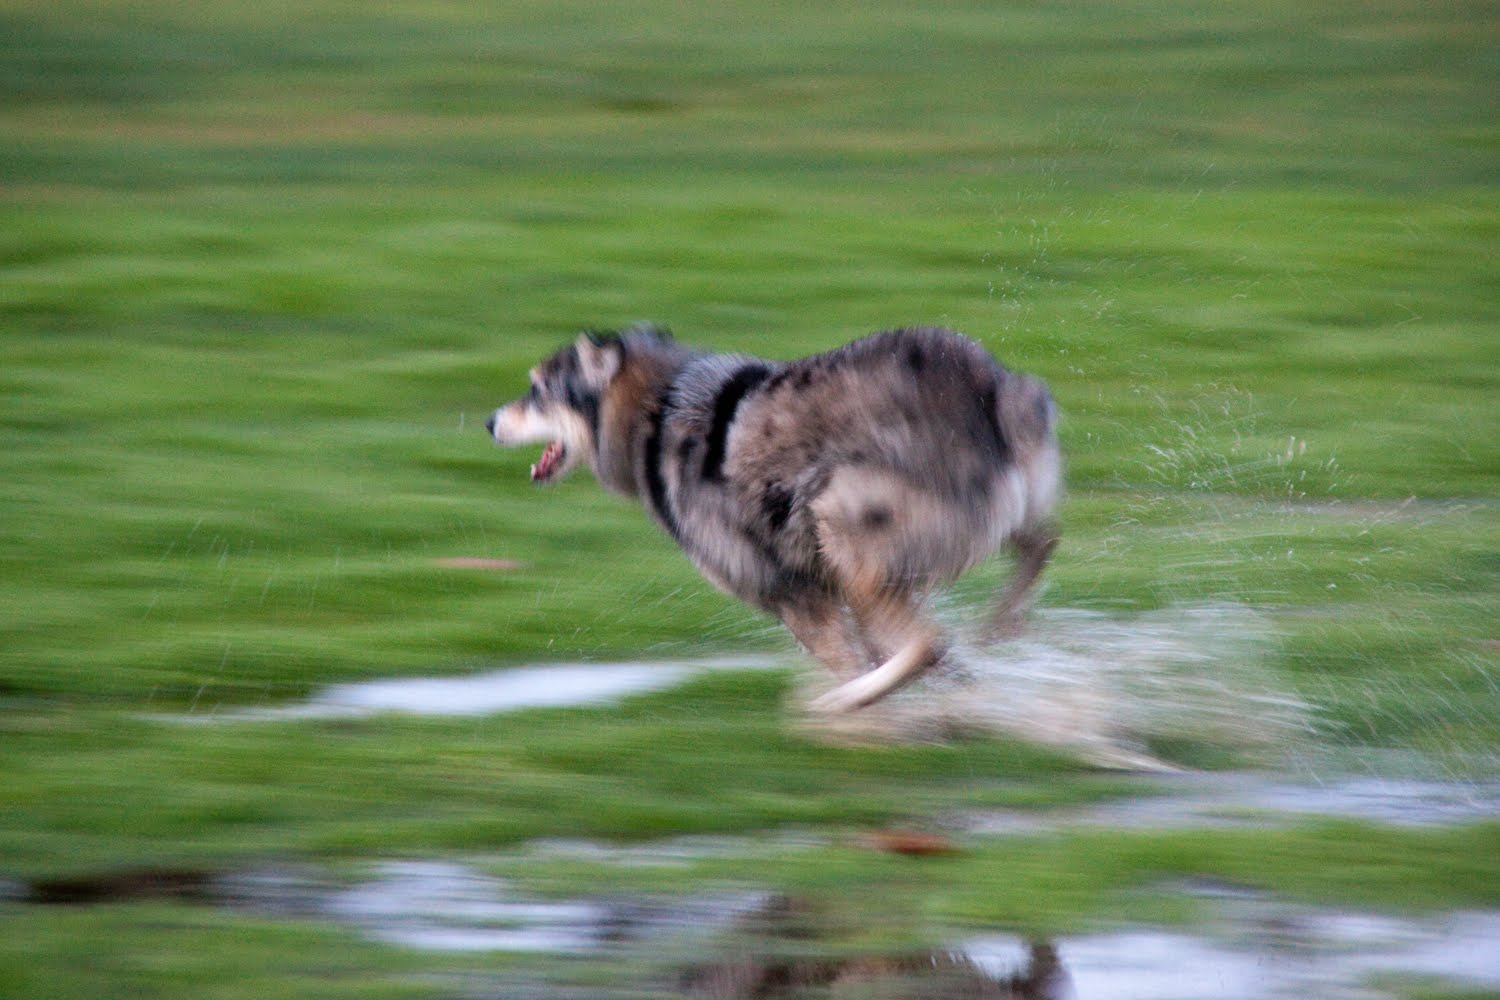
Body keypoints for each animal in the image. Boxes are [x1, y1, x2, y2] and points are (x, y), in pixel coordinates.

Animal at [485, 324, 1061, 713]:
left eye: (537, 392)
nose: (489, 422)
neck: (657, 409)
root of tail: (990, 395)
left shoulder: (791, 592)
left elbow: (859, 657)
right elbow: (906, 658)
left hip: (840, 521)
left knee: (927, 643)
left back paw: (846, 703)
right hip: (982, 526)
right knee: (1040, 545)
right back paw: (998, 628)